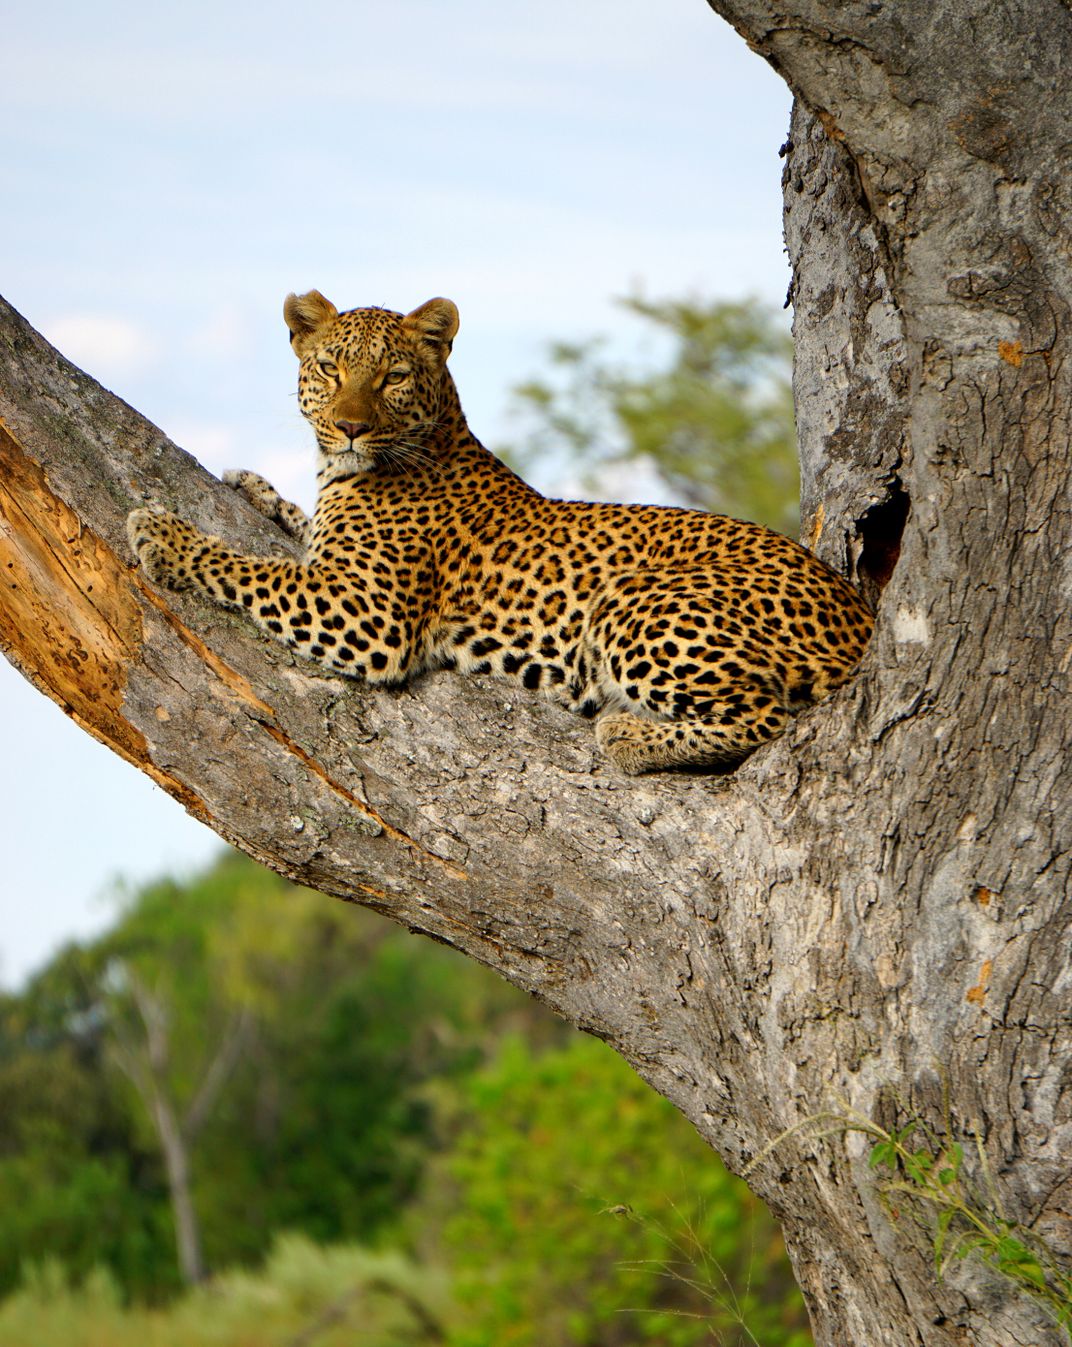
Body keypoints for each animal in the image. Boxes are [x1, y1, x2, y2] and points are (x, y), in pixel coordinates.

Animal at [127, 290, 873, 774]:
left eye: (393, 376)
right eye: (330, 369)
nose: (349, 426)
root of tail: (859, 611)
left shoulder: (370, 615)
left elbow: (254, 569)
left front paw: (163, 533)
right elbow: (295, 536)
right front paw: (251, 486)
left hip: (634, 601)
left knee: (767, 713)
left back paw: (627, 736)